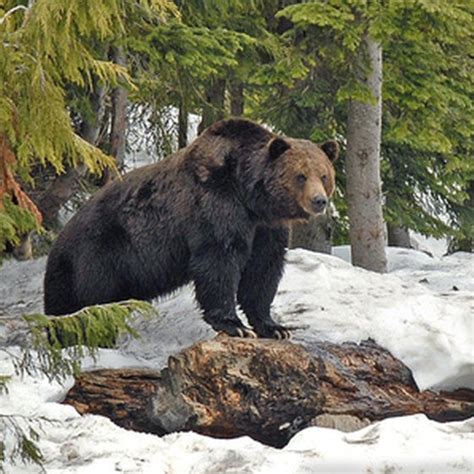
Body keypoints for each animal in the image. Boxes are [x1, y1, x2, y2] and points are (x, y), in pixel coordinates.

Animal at [44, 120, 336, 338]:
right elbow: (219, 258)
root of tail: (58, 241)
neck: (250, 196)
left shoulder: (267, 227)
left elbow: (263, 269)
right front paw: (234, 324)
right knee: (88, 303)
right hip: (100, 254)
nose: (319, 201)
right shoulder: (216, 201)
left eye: (324, 175)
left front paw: (273, 326)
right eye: (301, 176)